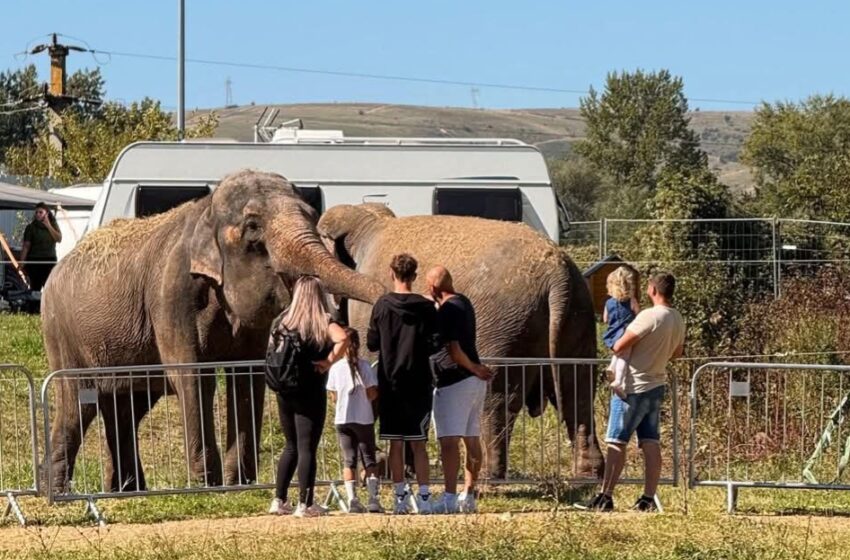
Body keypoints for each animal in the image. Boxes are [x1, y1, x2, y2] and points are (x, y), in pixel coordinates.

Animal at [41, 170, 385, 493]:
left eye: (313, 215)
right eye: (253, 227)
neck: (205, 211)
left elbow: (247, 376)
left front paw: (240, 483)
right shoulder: (172, 295)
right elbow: (192, 376)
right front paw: (208, 484)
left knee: (127, 406)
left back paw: (126, 489)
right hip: (62, 335)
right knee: (79, 402)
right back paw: (57, 489)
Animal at [317, 204, 604, 479]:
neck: (368, 221)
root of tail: (557, 275)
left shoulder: (367, 312)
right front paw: (404, 470)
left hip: (504, 331)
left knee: (495, 398)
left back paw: (487, 476)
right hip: (577, 316)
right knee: (578, 388)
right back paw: (588, 473)